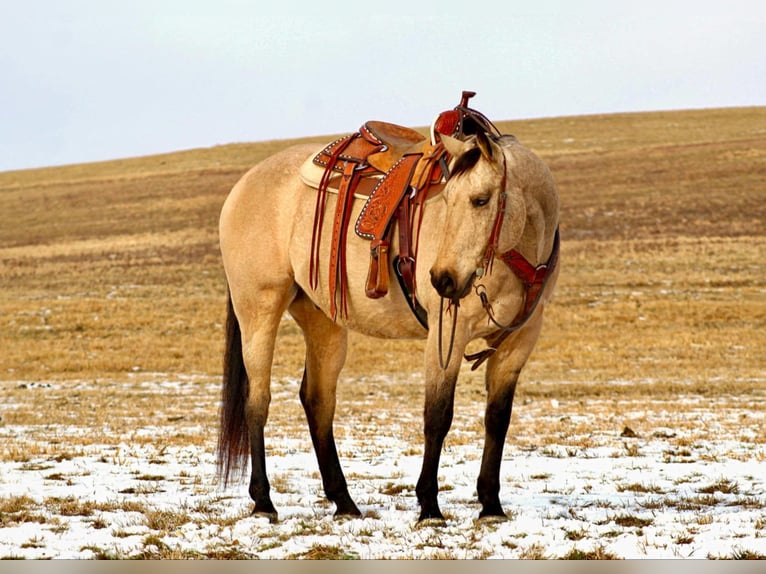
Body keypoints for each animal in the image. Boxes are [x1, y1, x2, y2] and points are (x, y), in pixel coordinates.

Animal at [219, 91, 560, 528]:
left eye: (480, 200)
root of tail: (242, 186)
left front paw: (490, 505)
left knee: (318, 400)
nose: (443, 279)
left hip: (323, 321)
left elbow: (497, 418)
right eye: (447, 198)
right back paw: (264, 501)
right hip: (259, 310)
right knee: (257, 400)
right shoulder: (446, 333)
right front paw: (429, 506)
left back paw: (344, 501)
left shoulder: (519, 340)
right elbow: (438, 416)